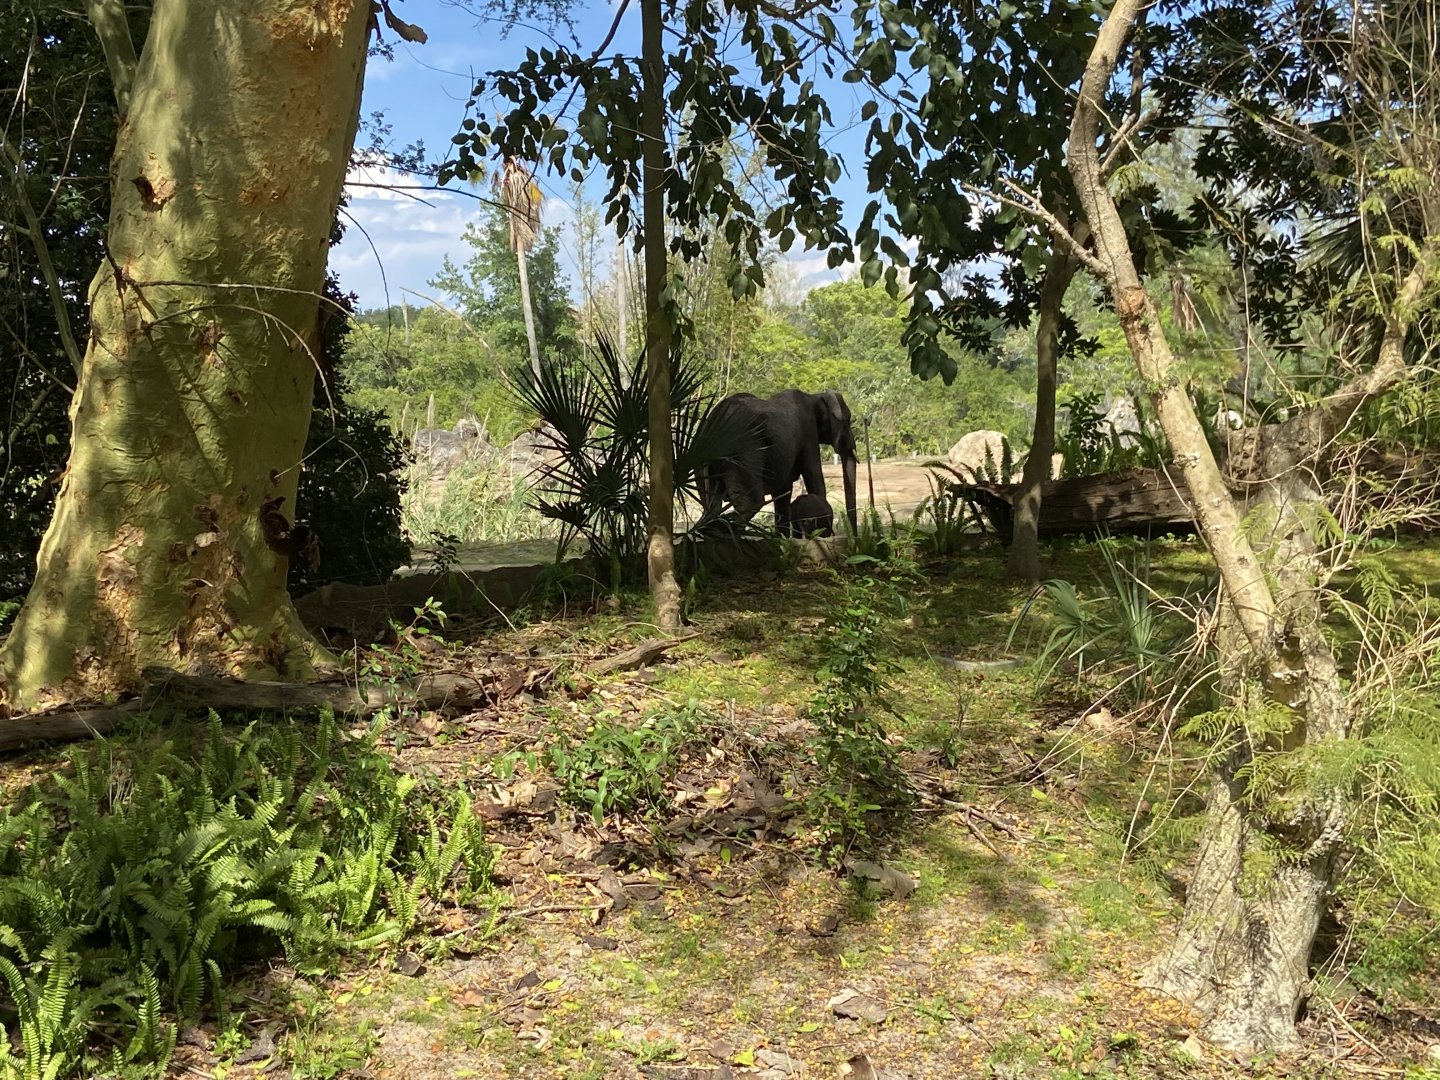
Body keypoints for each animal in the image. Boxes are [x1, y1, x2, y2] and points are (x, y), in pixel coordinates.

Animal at [699, 389, 858, 535]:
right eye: (848, 419)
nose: (855, 538)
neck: (814, 396)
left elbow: (783, 491)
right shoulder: (809, 433)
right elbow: (814, 479)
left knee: (711, 507)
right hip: (744, 450)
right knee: (750, 504)